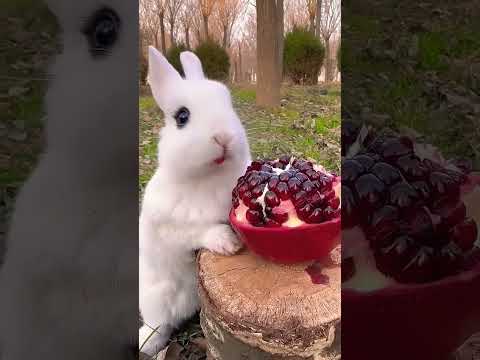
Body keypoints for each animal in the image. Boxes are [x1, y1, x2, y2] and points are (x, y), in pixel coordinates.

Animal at [139, 47, 251, 354]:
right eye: (182, 116)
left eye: (228, 103)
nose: (224, 137)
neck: (208, 178)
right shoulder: (171, 227)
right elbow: (198, 231)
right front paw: (228, 243)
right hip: (155, 296)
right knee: (159, 325)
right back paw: (146, 344)